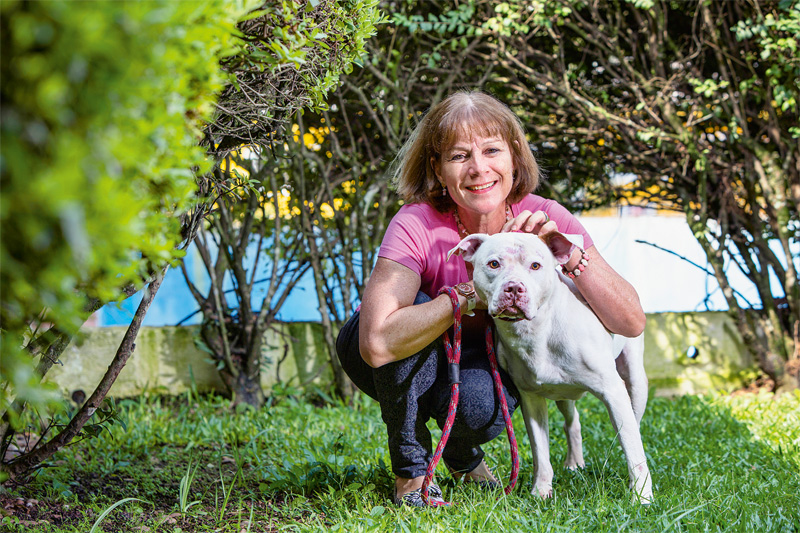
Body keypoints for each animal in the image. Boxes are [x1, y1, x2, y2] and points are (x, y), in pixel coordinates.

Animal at [446, 232, 652, 502]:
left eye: (535, 266)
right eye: (493, 264)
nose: (514, 287)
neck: (536, 330)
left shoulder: (613, 392)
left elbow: (632, 447)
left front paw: (642, 498)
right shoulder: (531, 400)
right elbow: (541, 452)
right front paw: (541, 492)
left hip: (635, 381)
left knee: (632, 426)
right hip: (564, 394)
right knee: (572, 421)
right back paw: (574, 464)